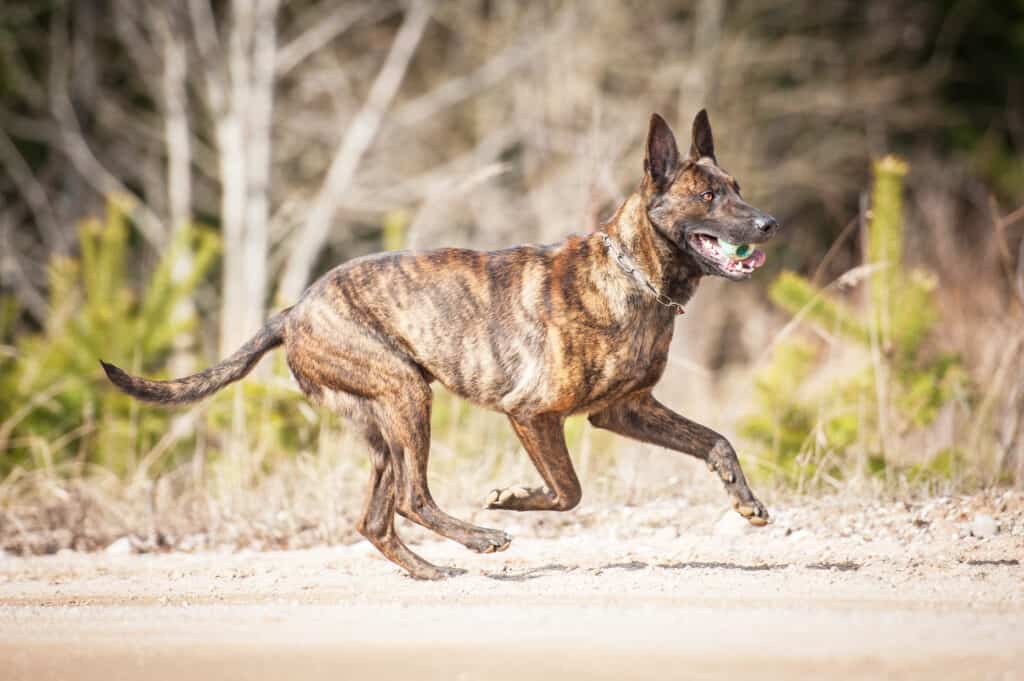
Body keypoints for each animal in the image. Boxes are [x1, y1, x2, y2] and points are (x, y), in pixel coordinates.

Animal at [101, 111, 774, 577]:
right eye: (709, 196)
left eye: (739, 186)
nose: (770, 223)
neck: (634, 277)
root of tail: (292, 312)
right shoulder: (533, 414)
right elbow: (568, 491)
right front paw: (513, 499)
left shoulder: (624, 410)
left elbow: (714, 440)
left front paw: (745, 501)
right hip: (406, 397)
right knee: (412, 498)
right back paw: (478, 539)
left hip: (382, 427)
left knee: (376, 516)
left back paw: (429, 570)